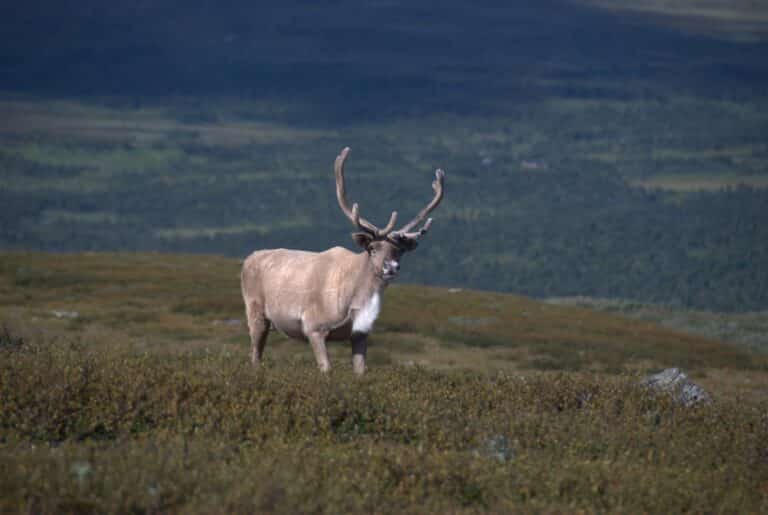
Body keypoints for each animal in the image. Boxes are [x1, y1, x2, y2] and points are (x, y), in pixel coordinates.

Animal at [240, 147, 445, 375]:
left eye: (399, 250)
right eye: (372, 248)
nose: (391, 267)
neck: (352, 300)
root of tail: (248, 259)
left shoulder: (361, 333)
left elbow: (360, 371)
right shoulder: (313, 326)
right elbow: (326, 369)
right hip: (255, 311)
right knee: (254, 354)